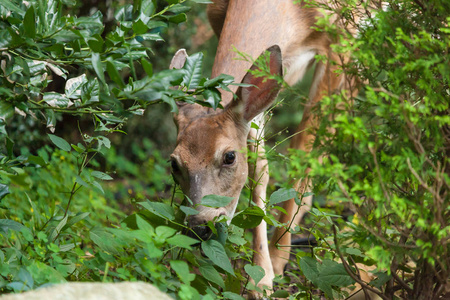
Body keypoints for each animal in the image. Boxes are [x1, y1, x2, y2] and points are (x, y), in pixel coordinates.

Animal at [171, 0, 354, 296]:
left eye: (229, 157)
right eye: (174, 163)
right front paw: (261, 276)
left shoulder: (343, 42)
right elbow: (260, 168)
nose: (200, 228)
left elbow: (304, 149)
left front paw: (277, 261)